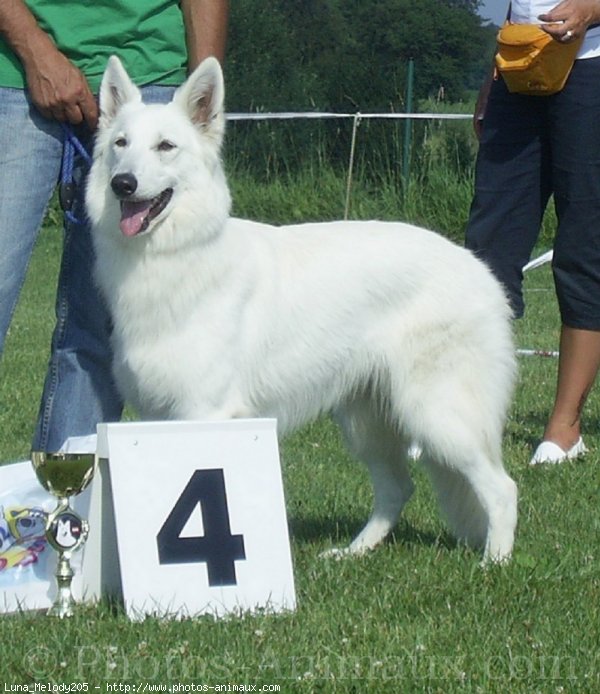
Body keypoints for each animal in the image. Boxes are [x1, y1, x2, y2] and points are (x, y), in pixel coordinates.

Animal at [86, 55, 516, 564]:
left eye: (165, 146)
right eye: (120, 144)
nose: (122, 184)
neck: (174, 257)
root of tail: (480, 271)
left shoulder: (203, 411)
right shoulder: (159, 415)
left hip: (438, 416)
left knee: (502, 488)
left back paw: (494, 563)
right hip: (366, 423)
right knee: (398, 488)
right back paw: (353, 553)